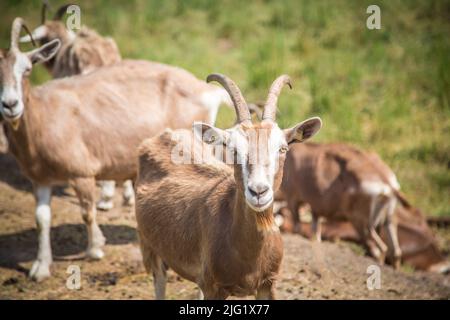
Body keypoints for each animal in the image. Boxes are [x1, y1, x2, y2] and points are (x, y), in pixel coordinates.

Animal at [1, 18, 234, 282]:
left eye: (27, 69)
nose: (10, 105)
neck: (43, 114)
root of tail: (208, 91)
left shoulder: (81, 172)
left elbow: (87, 211)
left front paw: (95, 249)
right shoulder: (39, 179)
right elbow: (41, 219)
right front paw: (40, 268)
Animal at [135, 74, 322, 298]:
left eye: (283, 148)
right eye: (233, 150)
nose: (258, 191)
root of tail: (162, 136)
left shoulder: (268, 283)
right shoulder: (215, 287)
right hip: (150, 245)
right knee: (160, 280)